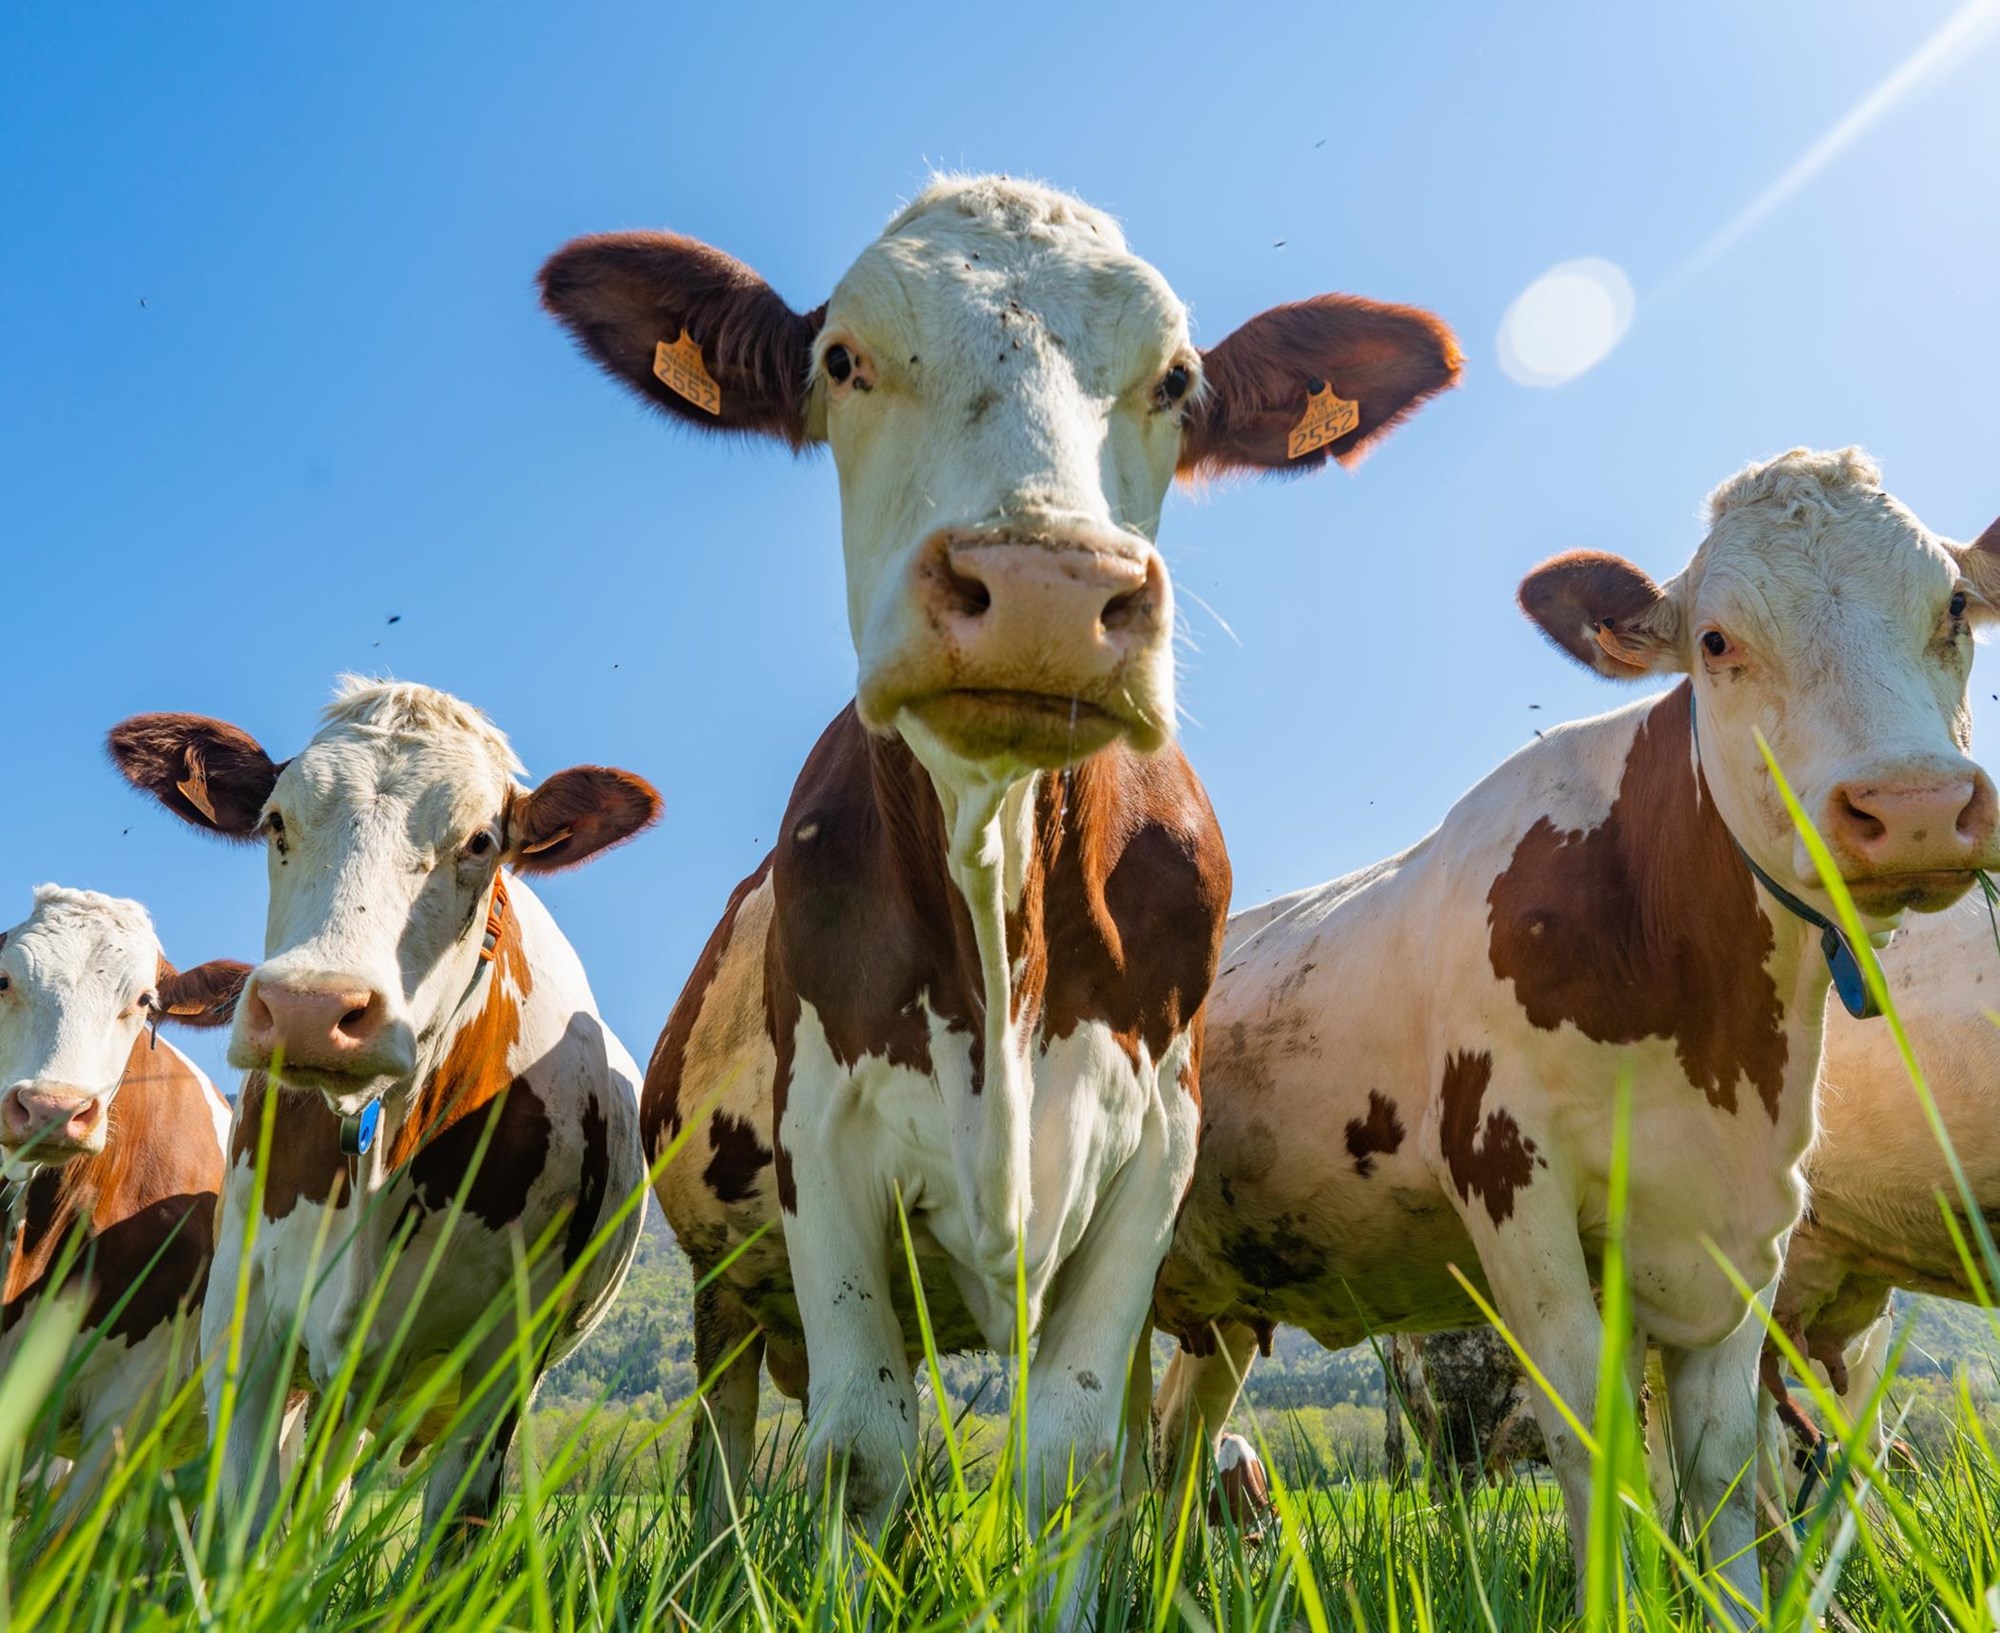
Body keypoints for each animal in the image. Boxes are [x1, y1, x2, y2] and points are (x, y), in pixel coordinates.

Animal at [105, 684, 656, 1552]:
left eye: (481, 841)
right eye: (276, 822)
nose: (311, 1009)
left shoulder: (499, 1364)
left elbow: (449, 1534)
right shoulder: (244, 1323)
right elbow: (245, 1527)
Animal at [540, 172, 1464, 1576]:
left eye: (1176, 378)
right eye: (842, 358)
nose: (1042, 585)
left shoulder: (1154, 1153)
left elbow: (1078, 1460)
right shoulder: (824, 1146)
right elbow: (859, 1454)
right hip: (724, 1293)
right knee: (724, 1454)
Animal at [1152, 450, 2000, 1616]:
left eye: (1954, 606)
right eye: (1715, 641)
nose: (1912, 807)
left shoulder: (1747, 1230)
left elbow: (1723, 1469)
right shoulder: (1512, 1179)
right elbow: (1597, 1445)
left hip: (1228, 1299)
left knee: (1172, 1442)